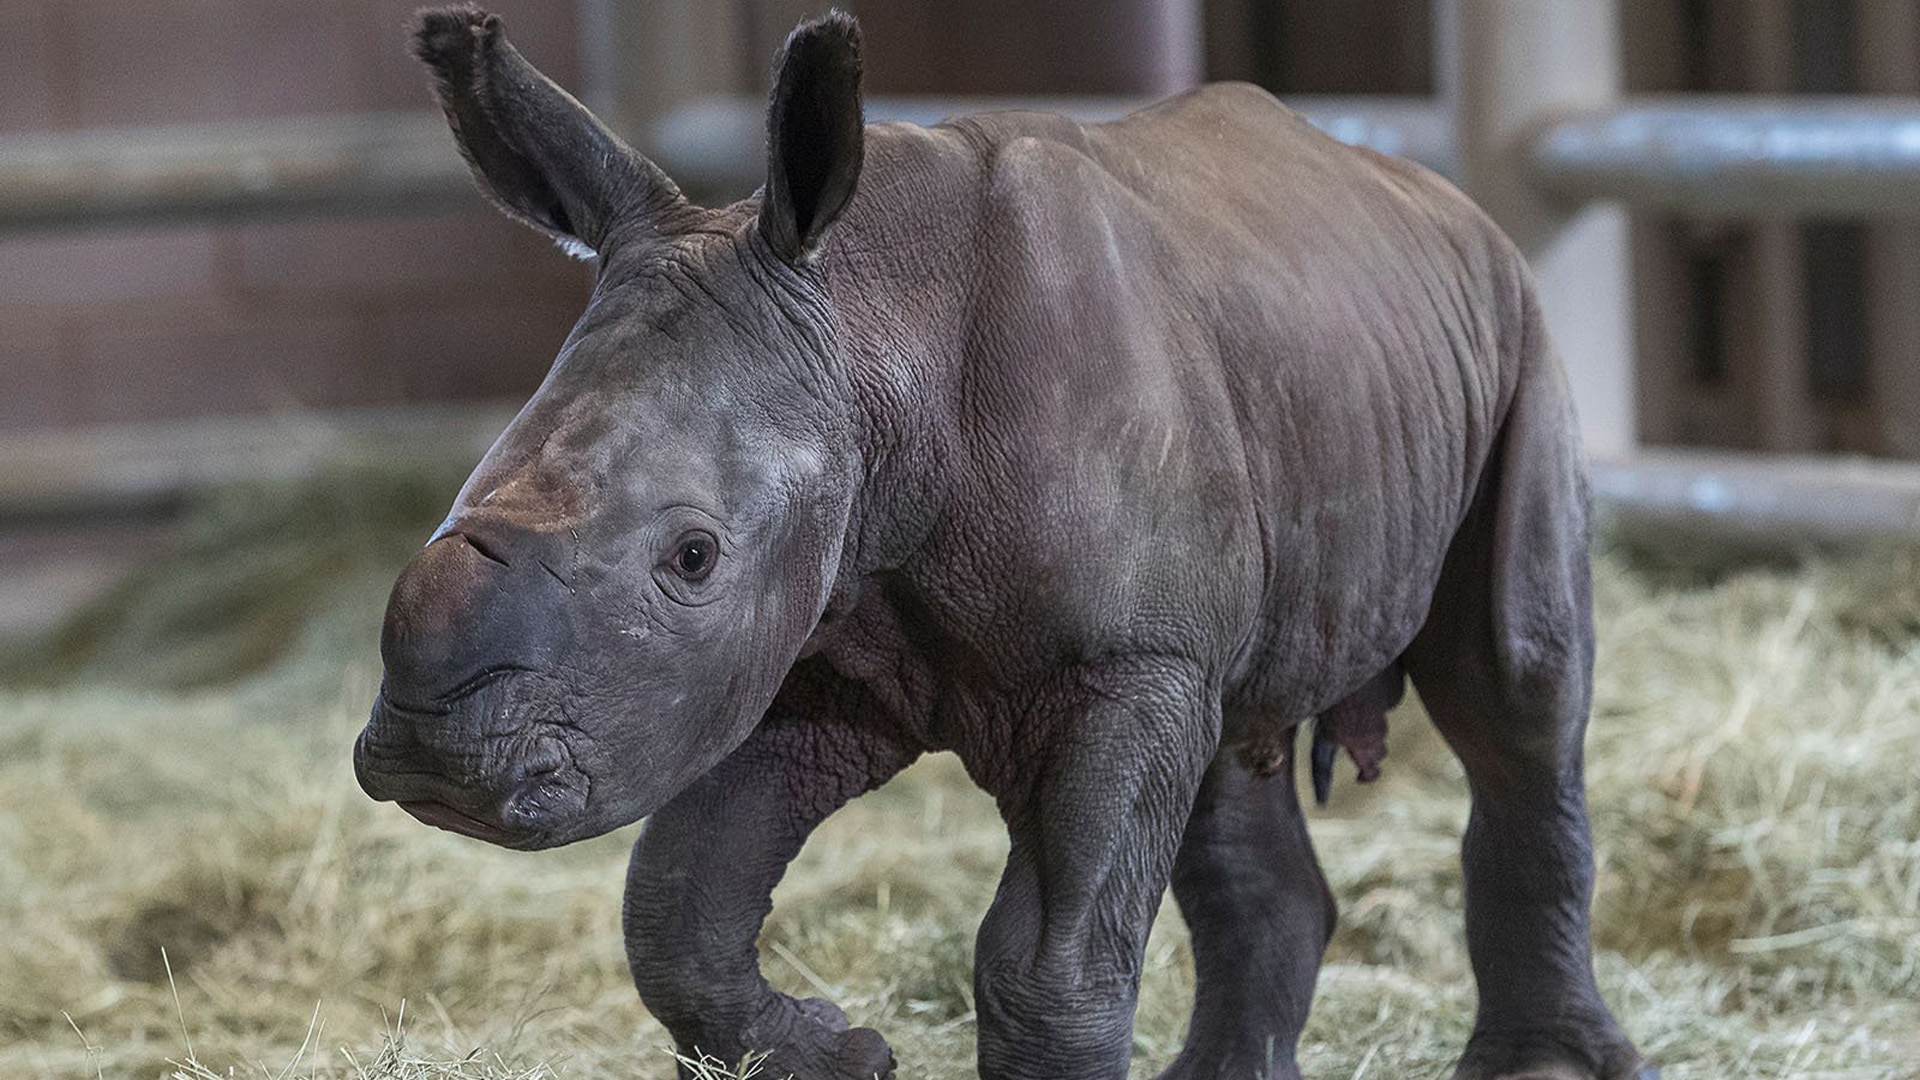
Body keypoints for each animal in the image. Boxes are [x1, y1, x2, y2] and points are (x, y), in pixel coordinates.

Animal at [353, 7, 1654, 1080]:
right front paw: (841, 1057)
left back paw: (1542, 1067)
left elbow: (1047, 965)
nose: (434, 760)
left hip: (1516, 336)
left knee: (1516, 688)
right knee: (1233, 744)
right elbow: (676, 898)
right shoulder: (823, 645)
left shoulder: (1115, 658)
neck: (871, 330)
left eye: (691, 557)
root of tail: (1431, 192)